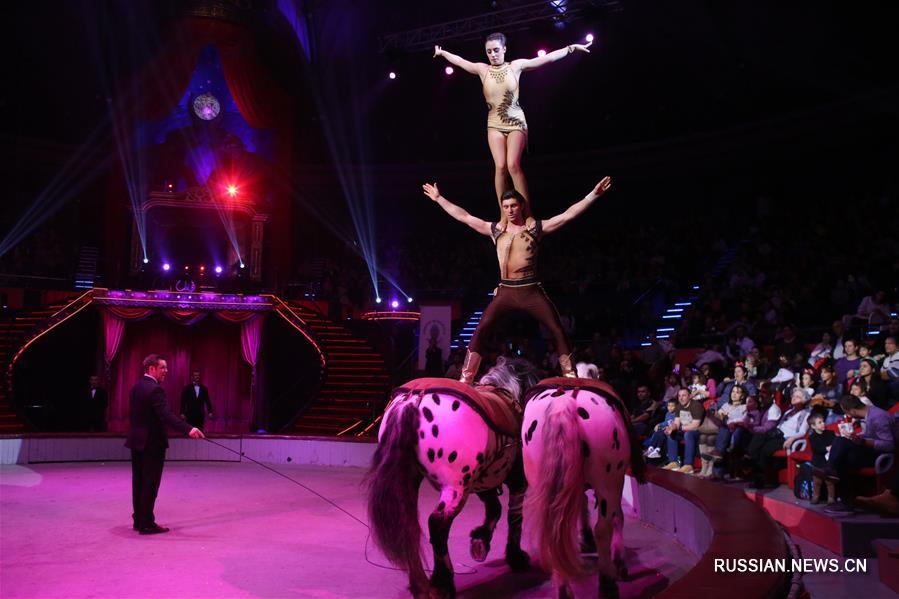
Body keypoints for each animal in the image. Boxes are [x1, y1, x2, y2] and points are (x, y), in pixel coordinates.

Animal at [368, 358, 536, 596]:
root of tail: (415, 399)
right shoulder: (517, 481)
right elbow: (514, 517)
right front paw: (516, 557)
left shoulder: (483, 481)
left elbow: (494, 508)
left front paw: (480, 541)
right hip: (455, 487)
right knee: (438, 524)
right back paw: (443, 581)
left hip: (414, 481)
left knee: (408, 525)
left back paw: (420, 584)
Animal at [520, 380, 648, 599]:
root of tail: (564, 402)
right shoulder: (616, 482)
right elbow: (617, 518)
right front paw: (619, 562)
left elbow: (582, 504)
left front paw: (586, 538)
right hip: (608, 483)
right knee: (603, 529)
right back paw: (607, 583)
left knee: (551, 531)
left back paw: (564, 589)